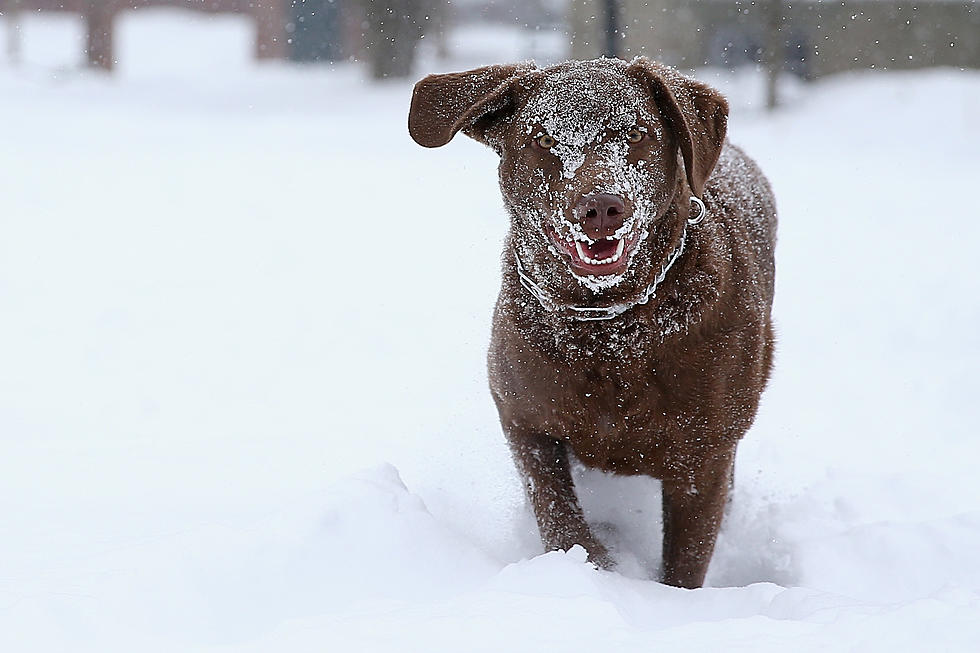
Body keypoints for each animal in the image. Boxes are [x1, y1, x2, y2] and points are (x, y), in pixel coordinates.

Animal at [406, 57, 772, 584]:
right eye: (542, 139)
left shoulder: (704, 454)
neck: (609, 327)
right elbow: (555, 509)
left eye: (637, 132)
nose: (600, 206)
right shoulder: (523, 415)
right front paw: (591, 565)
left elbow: (686, 560)